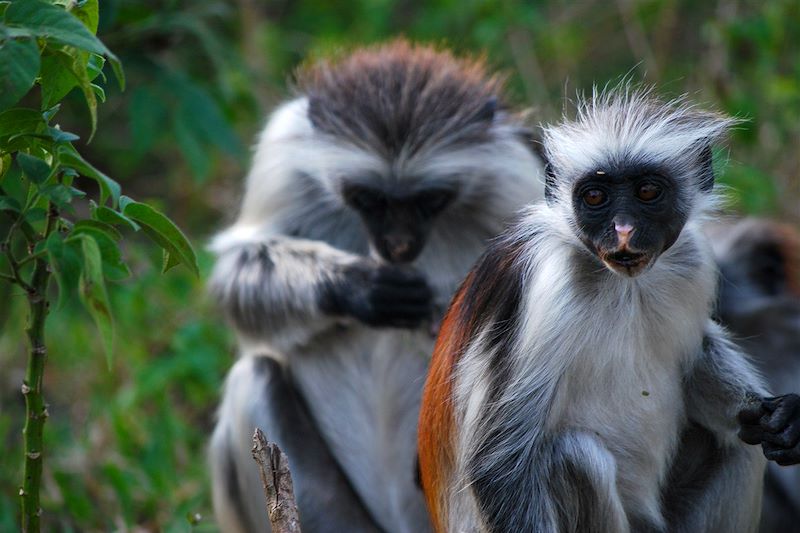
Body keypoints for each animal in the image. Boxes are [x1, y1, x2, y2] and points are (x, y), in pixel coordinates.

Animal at [206, 41, 544, 532]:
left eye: (429, 200)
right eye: (369, 199)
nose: (398, 246)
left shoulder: (512, 178)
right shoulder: (284, 161)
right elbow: (236, 265)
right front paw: (359, 288)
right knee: (253, 375)